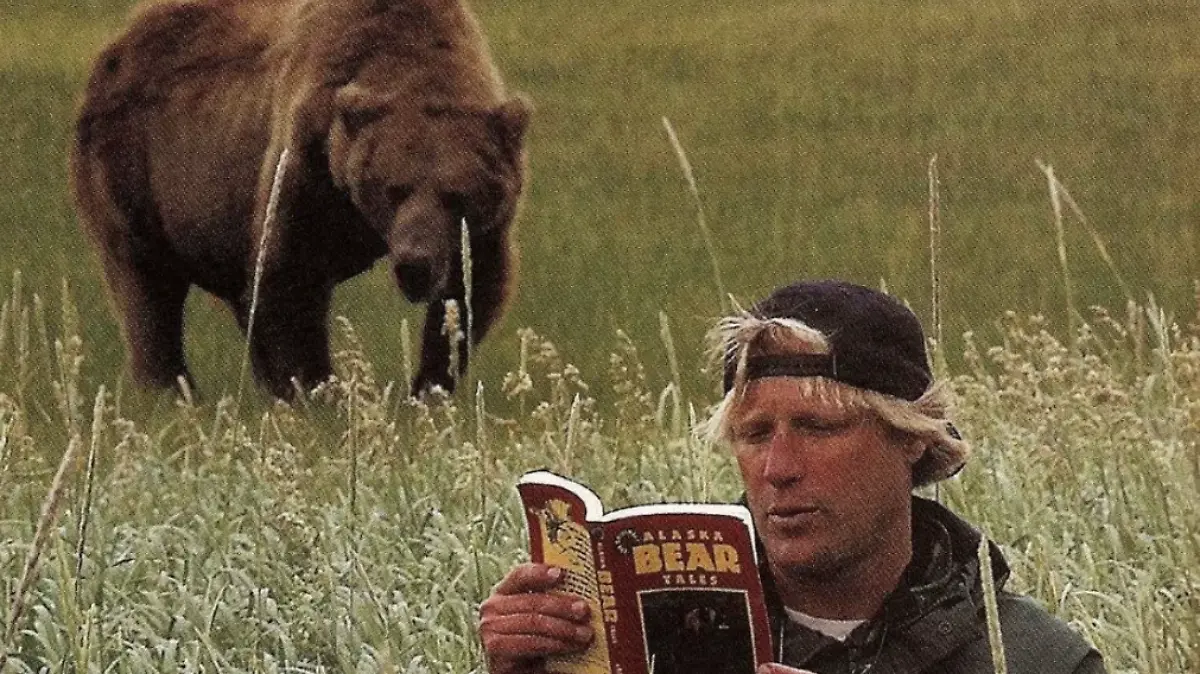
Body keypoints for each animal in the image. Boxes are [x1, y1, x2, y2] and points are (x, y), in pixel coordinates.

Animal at [69, 0, 530, 399]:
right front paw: (317, 391)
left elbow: (470, 288)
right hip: (134, 167)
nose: (414, 265)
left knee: (241, 297)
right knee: (147, 289)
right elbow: (291, 278)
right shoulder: (309, 161)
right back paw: (171, 392)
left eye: (457, 195)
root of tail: (117, 42)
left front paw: (428, 388)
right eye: (393, 188)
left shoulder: (484, 226)